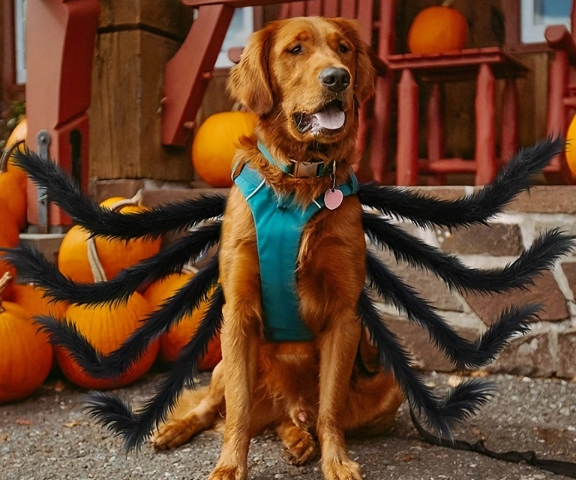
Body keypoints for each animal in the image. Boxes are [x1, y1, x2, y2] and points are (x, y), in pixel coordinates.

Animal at [153, 16, 404, 480]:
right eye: (295, 50)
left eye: (343, 48)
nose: (337, 77)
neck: (299, 178)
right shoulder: (237, 313)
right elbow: (235, 413)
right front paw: (229, 468)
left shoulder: (344, 316)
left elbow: (330, 411)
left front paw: (336, 462)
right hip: (220, 364)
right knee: (216, 407)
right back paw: (175, 429)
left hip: (387, 384)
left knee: (299, 418)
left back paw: (300, 439)